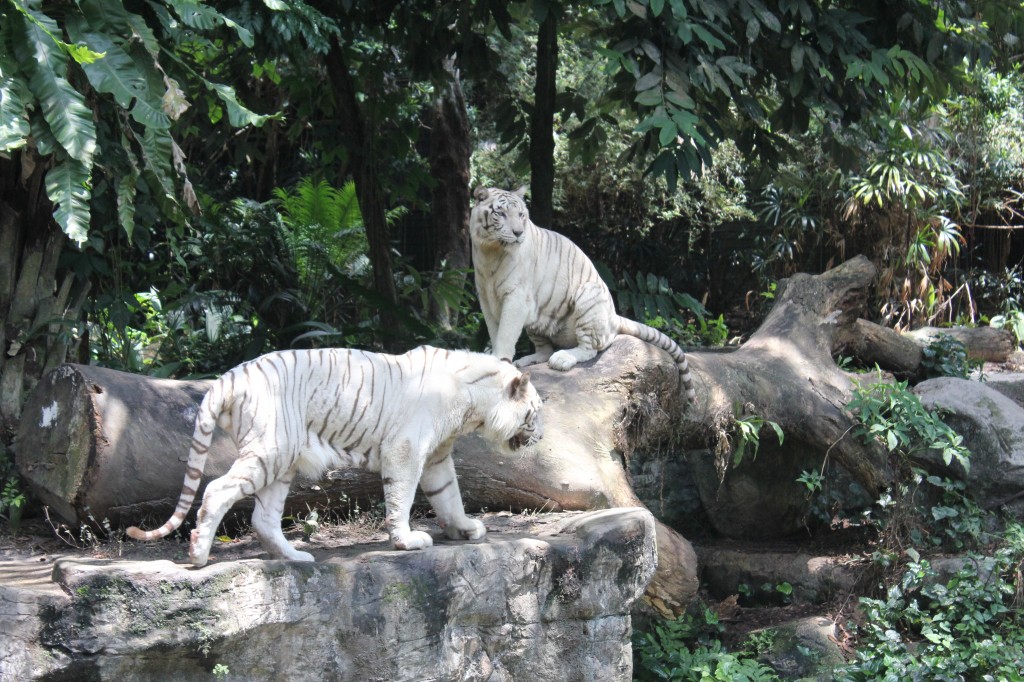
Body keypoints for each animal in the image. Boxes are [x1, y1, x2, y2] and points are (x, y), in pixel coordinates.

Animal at [128, 346, 544, 561]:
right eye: (536, 412)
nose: (541, 436)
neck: (474, 405)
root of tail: (229, 376)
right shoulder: (406, 450)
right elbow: (402, 497)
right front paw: (406, 541)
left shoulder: (437, 457)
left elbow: (448, 495)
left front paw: (464, 528)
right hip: (269, 450)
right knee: (216, 490)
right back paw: (199, 553)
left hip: (280, 460)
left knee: (264, 518)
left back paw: (295, 558)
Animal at [468, 183, 696, 401]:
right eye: (501, 214)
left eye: (521, 215)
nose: (518, 233)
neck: (490, 251)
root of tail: (614, 317)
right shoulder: (487, 299)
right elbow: (495, 331)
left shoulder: (516, 297)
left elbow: (506, 334)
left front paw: (500, 362)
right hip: (538, 313)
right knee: (545, 350)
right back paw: (528, 360)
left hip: (588, 297)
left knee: (590, 348)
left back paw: (563, 359)